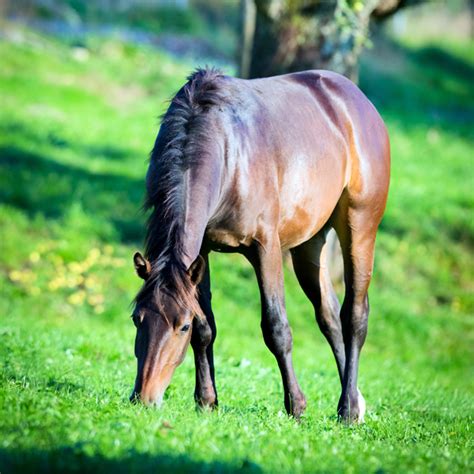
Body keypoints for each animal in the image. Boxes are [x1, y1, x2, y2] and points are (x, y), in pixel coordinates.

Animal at [129, 66, 388, 422]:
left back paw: (348, 408)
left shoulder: (265, 248)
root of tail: (355, 99)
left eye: (181, 326)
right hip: (310, 245)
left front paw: (296, 405)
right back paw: (356, 402)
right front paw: (206, 400)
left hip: (359, 228)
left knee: (354, 317)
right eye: (137, 318)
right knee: (330, 317)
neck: (226, 152)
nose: (143, 398)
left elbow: (276, 328)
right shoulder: (201, 254)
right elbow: (206, 328)